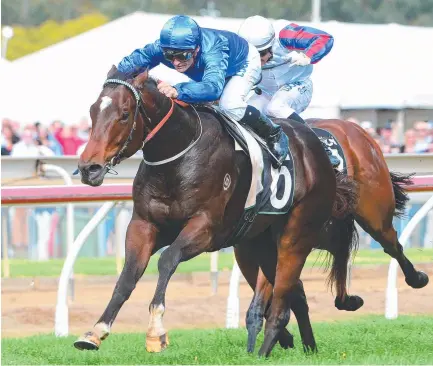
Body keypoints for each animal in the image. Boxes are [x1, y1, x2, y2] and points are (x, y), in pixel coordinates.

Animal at [73, 64, 354, 356]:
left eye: (125, 114)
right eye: (93, 111)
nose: (89, 168)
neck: (178, 156)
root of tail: (318, 147)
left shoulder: (205, 227)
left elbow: (167, 259)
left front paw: (155, 331)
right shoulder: (144, 224)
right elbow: (128, 275)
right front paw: (95, 331)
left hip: (297, 234)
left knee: (283, 298)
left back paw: (265, 350)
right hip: (261, 242)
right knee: (294, 293)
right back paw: (308, 347)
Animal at [235, 118, 426, 354]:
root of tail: (354, 128)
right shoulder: (253, 251)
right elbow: (266, 296)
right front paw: (284, 338)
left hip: (375, 216)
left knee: (391, 246)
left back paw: (417, 278)